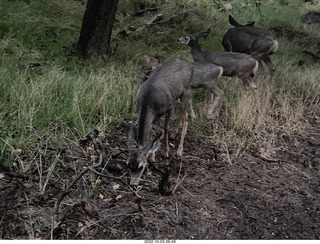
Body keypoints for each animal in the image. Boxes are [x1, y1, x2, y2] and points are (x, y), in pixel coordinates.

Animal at [127, 57, 192, 186]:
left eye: (140, 167)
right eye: (129, 166)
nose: (133, 184)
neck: (148, 102)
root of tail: (187, 63)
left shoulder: (169, 108)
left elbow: (165, 128)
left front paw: (166, 153)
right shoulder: (151, 116)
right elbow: (151, 133)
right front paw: (152, 157)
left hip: (186, 91)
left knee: (185, 116)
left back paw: (179, 151)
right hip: (178, 96)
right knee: (185, 114)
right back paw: (174, 135)